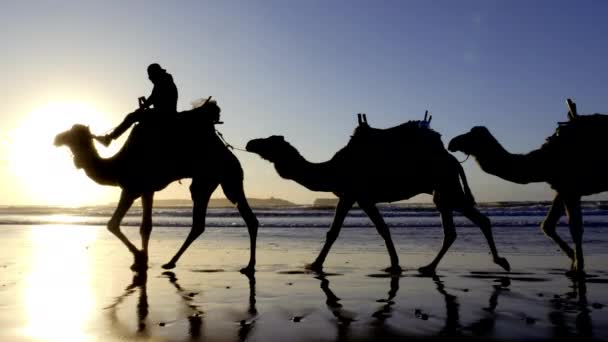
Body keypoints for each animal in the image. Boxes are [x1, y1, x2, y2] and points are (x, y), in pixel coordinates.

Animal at [54, 99, 258, 272]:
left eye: (71, 133)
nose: (56, 138)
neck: (118, 165)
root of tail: (229, 152)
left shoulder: (131, 189)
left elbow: (113, 224)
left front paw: (140, 258)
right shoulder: (147, 190)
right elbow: (146, 226)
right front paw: (141, 260)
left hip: (213, 178)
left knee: (208, 220)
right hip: (221, 180)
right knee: (234, 218)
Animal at [245, 113, 510, 274]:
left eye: (270, 141)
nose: (249, 143)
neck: (332, 168)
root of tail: (453, 160)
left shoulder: (354, 193)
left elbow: (340, 231)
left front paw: (314, 264)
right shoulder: (356, 195)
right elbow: (378, 228)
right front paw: (394, 265)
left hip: (446, 184)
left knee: (469, 222)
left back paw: (494, 261)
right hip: (444, 190)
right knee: (460, 226)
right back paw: (434, 266)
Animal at [446, 99, 608, 276]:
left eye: (471, 135)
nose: (452, 142)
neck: (543, 160)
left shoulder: (571, 187)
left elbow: (575, 228)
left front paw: (578, 268)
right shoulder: (562, 188)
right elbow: (548, 225)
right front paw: (573, 261)